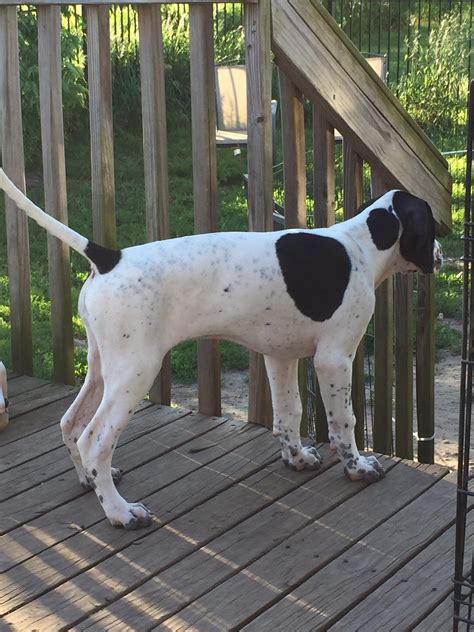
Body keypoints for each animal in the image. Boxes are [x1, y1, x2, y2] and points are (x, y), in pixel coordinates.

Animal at [0, 169, 442, 529]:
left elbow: (288, 415)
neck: (359, 247)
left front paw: (297, 458)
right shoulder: (335, 359)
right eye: (432, 227)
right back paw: (120, 512)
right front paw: (357, 467)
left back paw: (88, 482)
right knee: (94, 441)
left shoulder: (280, 356)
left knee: (71, 424)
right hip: (135, 372)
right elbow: (344, 422)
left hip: (101, 368)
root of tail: (110, 258)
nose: (439, 256)